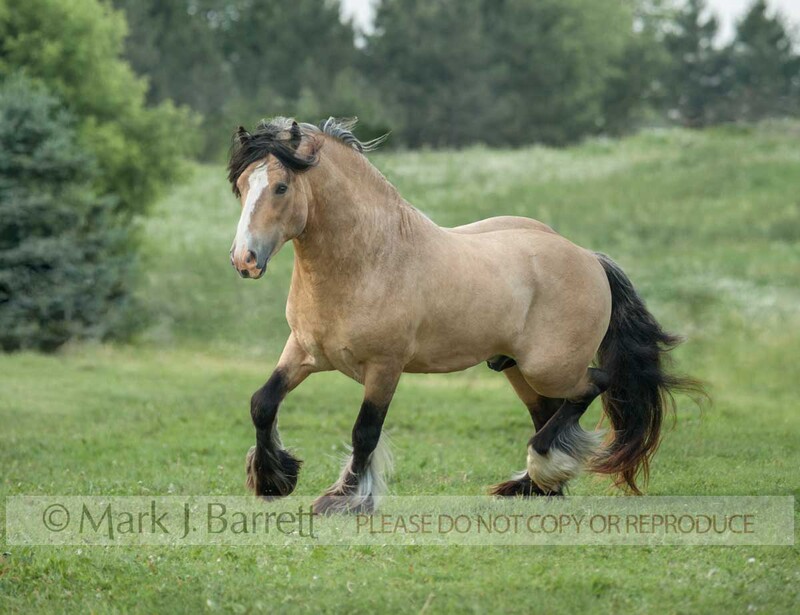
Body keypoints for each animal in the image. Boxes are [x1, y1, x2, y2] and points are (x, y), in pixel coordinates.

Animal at [226, 117, 701, 514]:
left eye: (281, 187)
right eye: (243, 185)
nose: (244, 260)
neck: (370, 259)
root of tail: (589, 257)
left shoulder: (385, 367)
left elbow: (365, 432)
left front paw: (343, 498)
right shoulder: (304, 352)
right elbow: (262, 403)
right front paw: (273, 480)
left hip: (549, 367)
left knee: (592, 386)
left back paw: (542, 468)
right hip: (517, 369)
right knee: (549, 411)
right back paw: (536, 485)